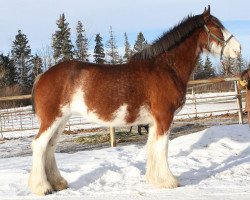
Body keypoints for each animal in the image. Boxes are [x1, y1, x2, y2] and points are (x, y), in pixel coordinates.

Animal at [28, 6, 240, 195]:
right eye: (216, 26)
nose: (239, 48)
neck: (166, 68)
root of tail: (42, 76)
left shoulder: (154, 121)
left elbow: (152, 147)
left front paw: (156, 180)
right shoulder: (164, 117)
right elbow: (162, 148)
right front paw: (169, 181)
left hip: (62, 120)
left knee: (50, 147)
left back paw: (58, 183)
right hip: (52, 119)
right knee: (39, 145)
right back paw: (42, 187)